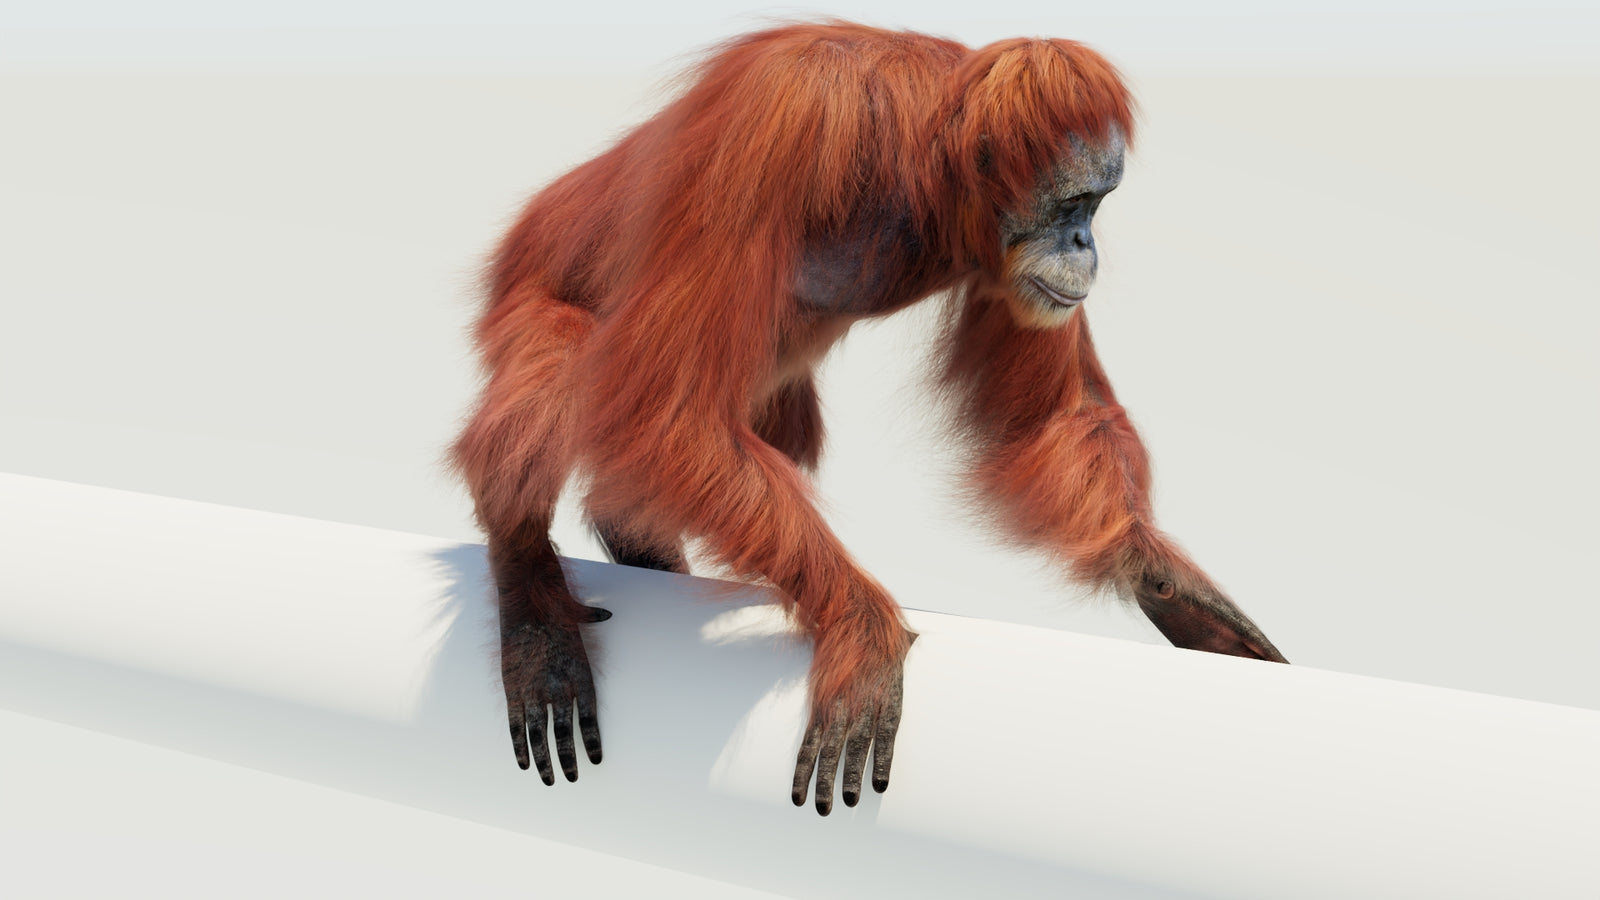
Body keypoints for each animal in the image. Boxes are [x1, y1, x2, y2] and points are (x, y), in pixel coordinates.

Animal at [452, 21, 1287, 817]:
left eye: (1098, 206)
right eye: (1074, 205)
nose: (1087, 244)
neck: (919, 167)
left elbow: (1049, 420)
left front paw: (1169, 582)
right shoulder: (783, 116)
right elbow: (669, 407)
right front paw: (862, 628)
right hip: (528, 279)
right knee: (565, 366)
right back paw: (530, 599)